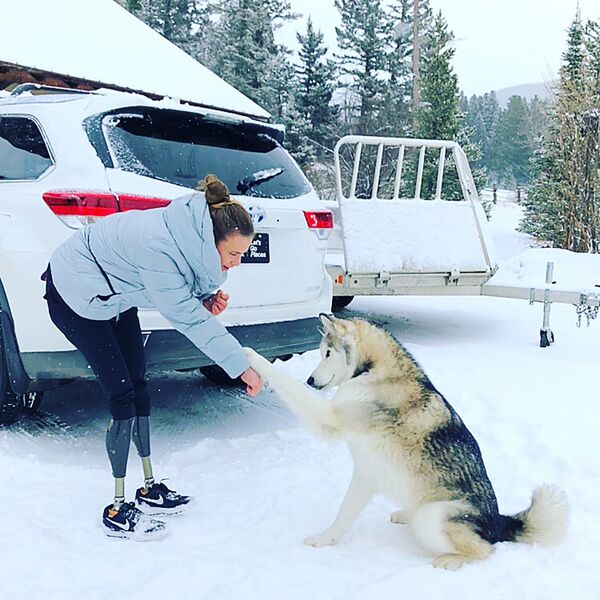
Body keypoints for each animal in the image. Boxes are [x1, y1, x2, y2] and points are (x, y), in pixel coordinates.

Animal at [246, 316, 568, 568]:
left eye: (327, 353)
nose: (311, 381)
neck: (373, 371)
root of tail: (499, 522)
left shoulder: (330, 422)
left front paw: (250, 355)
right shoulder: (366, 472)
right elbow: (345, 512)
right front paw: (330, 539)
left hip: (433, 517)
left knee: (485, 551)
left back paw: (449, 560)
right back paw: (405, 515)